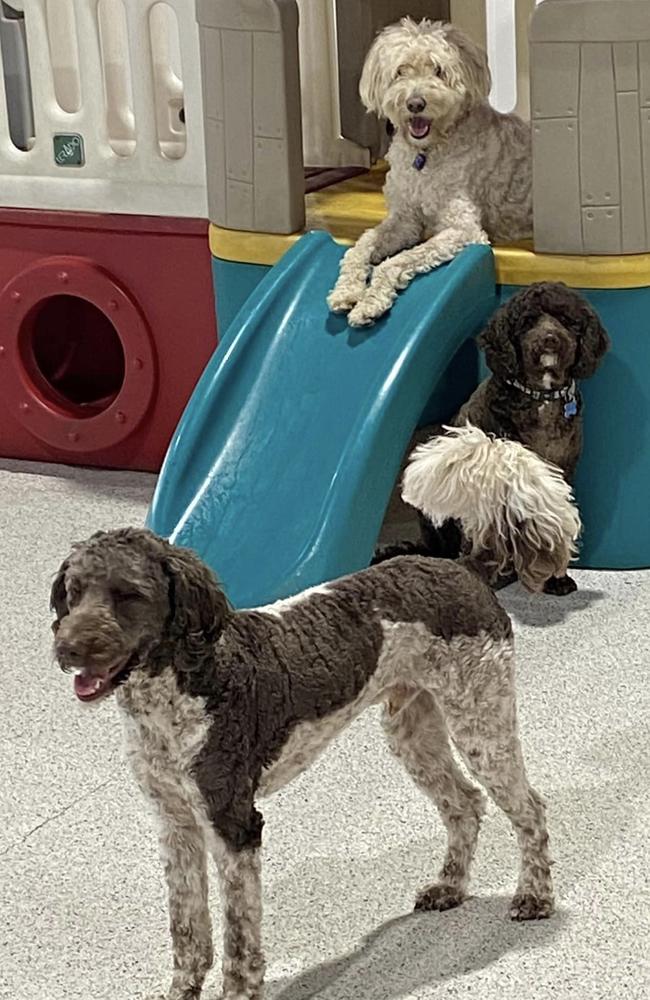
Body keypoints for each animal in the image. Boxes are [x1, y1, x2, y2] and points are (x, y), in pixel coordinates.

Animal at [52, 426, 576, 996]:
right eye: (74, 592)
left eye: (129, 595)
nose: (67, 649)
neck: (178, 690)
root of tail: (464, 567)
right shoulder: (176, 826)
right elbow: (188, 933)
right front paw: (182, 990)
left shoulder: (234, 825)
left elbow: (238, 943)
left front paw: (239, 990)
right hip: (413, 731)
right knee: (465, 804)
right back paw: (449, 886)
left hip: (481, 722)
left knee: (530, 808)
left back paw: (535, 896)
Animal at [326, 19, 528, 326]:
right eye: (400, 70)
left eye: (438, 71)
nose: (415, 103)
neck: (426, 154)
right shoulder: (404, 219)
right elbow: (360, 245)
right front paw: (346, 291)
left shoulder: (463, 228)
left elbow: (399, 260)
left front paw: (370, 303)